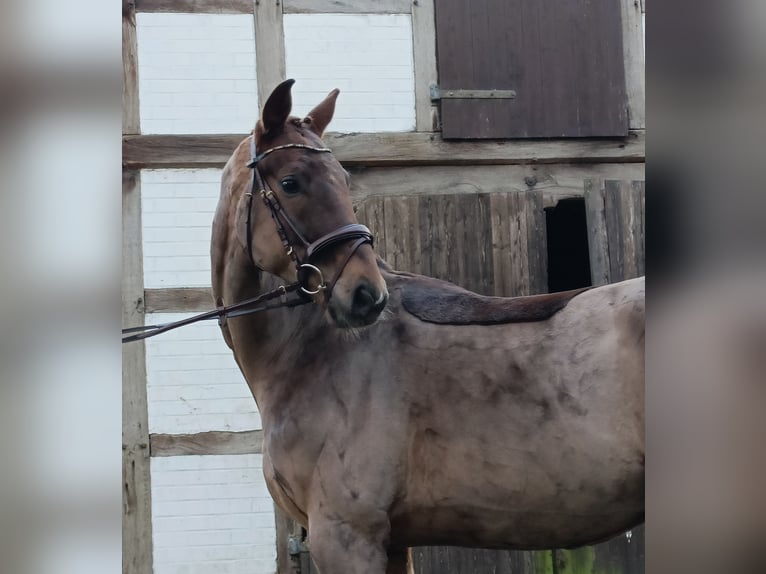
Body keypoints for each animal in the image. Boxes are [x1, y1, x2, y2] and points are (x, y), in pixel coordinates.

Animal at [212, 81, 648, 574]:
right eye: (290, 183)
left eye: (344, 179)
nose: (366, 295)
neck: (309, 354)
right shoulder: (390, 543)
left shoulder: (345, 537)